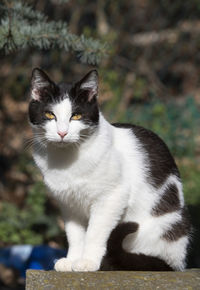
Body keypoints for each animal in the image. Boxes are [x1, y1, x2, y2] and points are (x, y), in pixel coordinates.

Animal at [28, 68, 191, 272]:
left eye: (76, 116)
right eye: (50, 115)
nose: (62, 133)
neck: (66, 159)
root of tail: (178, 263)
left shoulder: (111, 198)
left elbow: (94, 232)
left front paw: (88, 261)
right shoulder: (69, 205)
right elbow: (75, 235)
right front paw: (72, 260)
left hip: (164, 228)